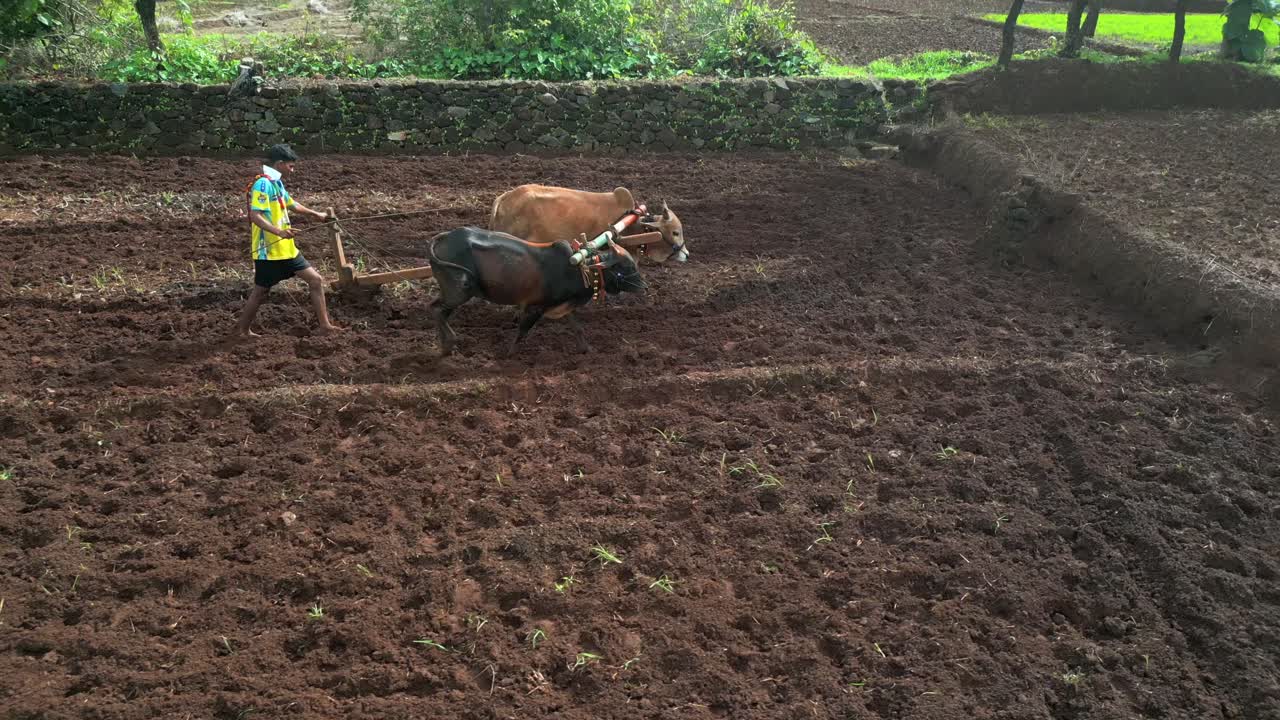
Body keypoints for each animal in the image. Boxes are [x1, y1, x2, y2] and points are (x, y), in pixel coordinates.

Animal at [427, 226, 646, 357]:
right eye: (626, 267)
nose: (644, 287)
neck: (580, 267)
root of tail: (445, 236)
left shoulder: (564, 305)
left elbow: (577, 328)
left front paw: (587, 349)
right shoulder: (535, 308)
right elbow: (522, 331)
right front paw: (508, 355)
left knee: (436, 310)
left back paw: (446, 346)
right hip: (459, 291)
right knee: (436, 310)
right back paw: (449, 344)